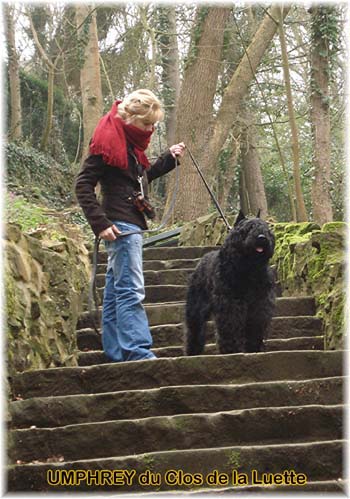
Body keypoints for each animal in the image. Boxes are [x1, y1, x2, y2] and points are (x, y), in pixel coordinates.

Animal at [186, 211, 276, 356]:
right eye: (249, 227)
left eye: (267, 229)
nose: (262, 238)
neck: (248, 268)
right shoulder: (230, 301)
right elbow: (231, 324)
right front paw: (231, 349)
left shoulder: (260, 302)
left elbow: (255, 324)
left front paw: (253, 347)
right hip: (195, 308)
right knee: (194, 329)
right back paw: (192, 351)